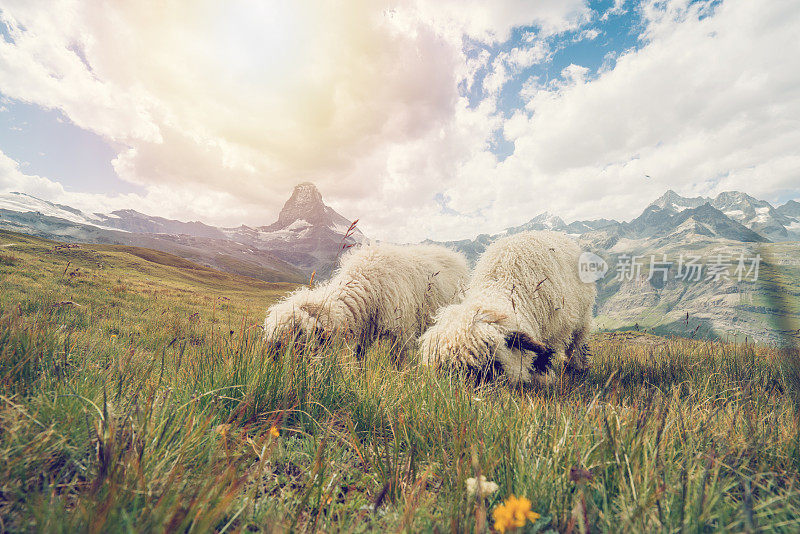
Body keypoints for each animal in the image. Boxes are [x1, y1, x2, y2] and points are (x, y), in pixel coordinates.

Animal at [266, 245, 472, 362]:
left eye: (296, 335)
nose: (271, 366)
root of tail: (454, 255)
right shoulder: (365, 331)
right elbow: (359, 358)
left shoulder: (402, 332)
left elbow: (398, 362)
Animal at [418, 232, 592, 388]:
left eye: (491, 362)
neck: (502, 284)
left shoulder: (551, 330)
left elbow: (543, 356)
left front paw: (543, 378)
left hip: (582, 318)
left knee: (577, 343)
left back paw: (577, 367)